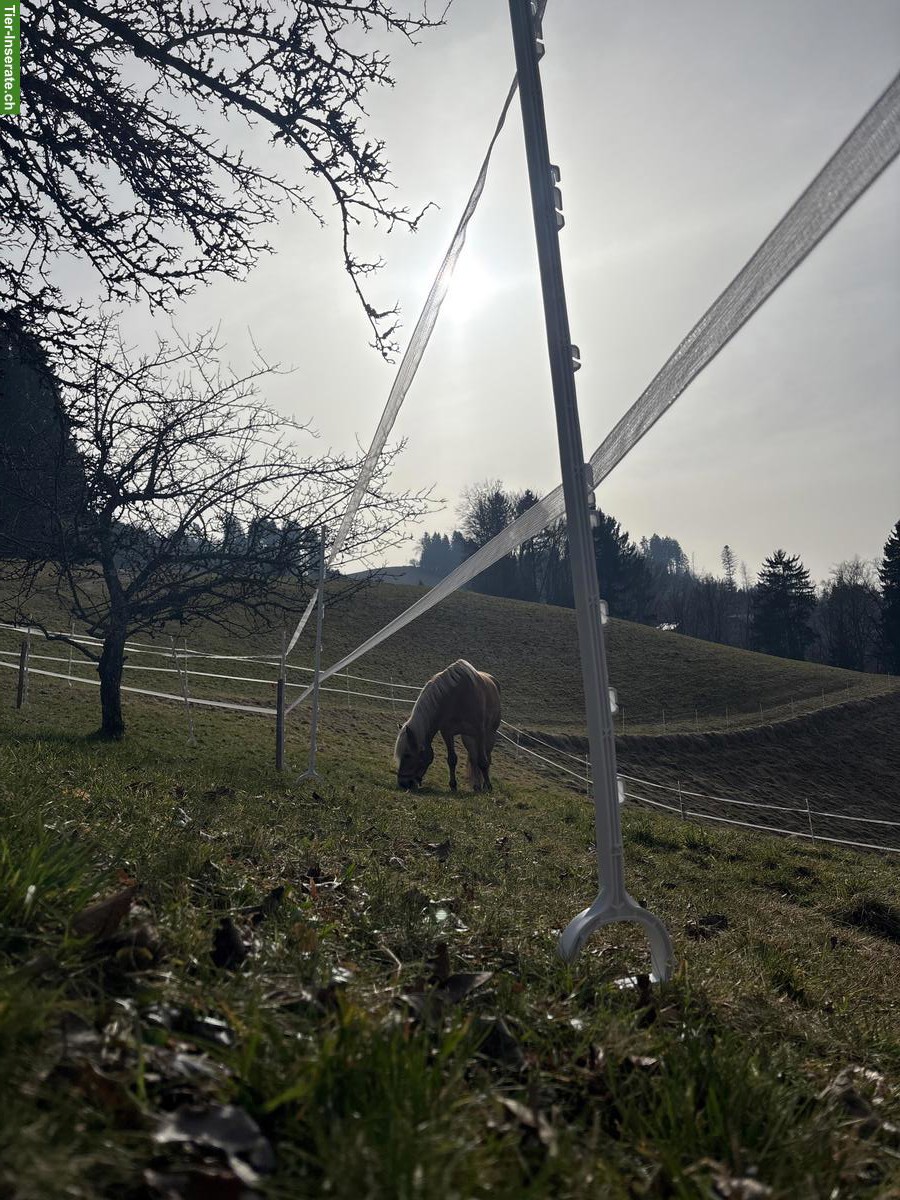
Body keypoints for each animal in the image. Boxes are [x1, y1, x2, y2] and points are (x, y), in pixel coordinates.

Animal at [394, 659, 501, 792]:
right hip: (467, 737)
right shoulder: (447, 732)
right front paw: (453, 786)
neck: (456, 697)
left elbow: (483, 761)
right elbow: (452, 759)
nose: (402, 783)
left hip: (490, 734)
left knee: (486, 757)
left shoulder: (479, 732)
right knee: (473, 758)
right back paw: (476, 786)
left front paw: (489, 787)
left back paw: (484, 786)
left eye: (407, 755)